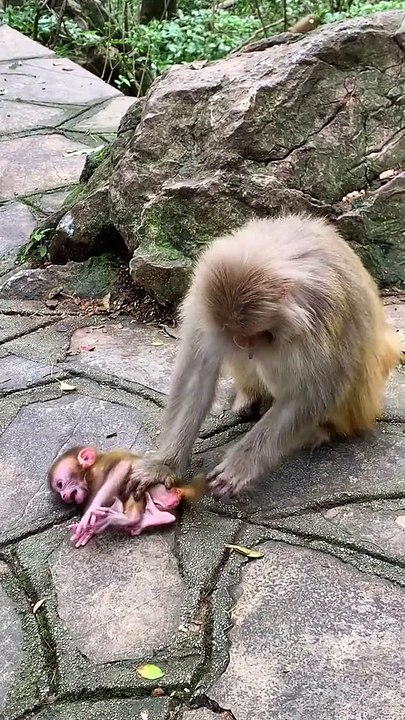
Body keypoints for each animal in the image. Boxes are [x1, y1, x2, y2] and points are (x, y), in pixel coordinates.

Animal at [49, 446, 205, 547]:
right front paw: (89, 529)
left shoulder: (98, 469)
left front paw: (90, 514)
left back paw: (129, 518)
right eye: (59, 490)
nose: (63, 496)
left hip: (159, 489)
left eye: (60, 484)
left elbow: (122, 467)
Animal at [120, 213, 402, 501]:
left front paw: (240, 465)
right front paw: (163, 465)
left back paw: (320, 430)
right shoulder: (202, 303)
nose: (242, 342)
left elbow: (313, 392)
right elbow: (197, 375)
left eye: (254, 331)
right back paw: (249, 397)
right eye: (236, 332)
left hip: (361, 403)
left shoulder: (322, 313)